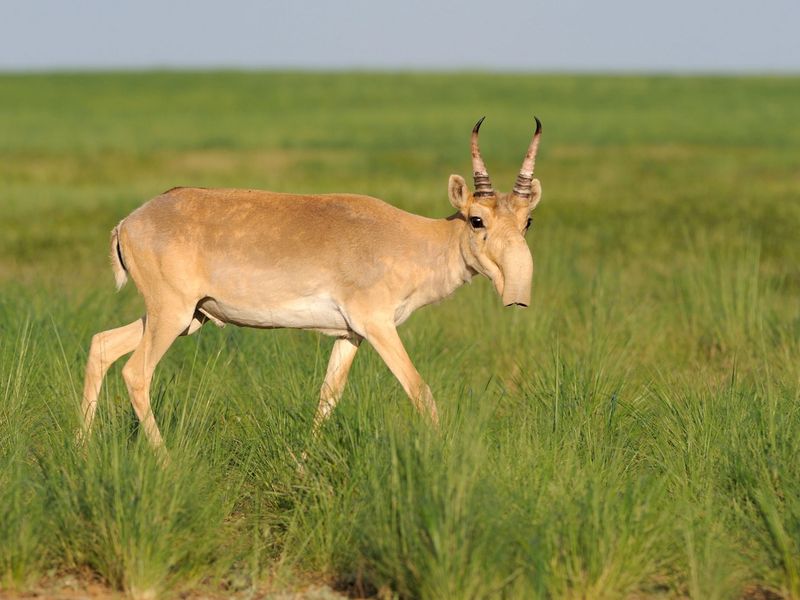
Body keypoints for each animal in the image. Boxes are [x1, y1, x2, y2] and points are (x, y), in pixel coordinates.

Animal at [81, 118, 544, 446]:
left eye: (527, 221)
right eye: (477, 219)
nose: (518, 296)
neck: (414, 239)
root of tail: (128, 222)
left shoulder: (350, 335)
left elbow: (327, 397)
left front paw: (303, 464)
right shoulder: (379, 327)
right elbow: (420, 390)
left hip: (187, 317)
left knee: (102, 345)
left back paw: (82, 449)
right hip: (172, 316)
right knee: (135, 373)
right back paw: (166, 462)